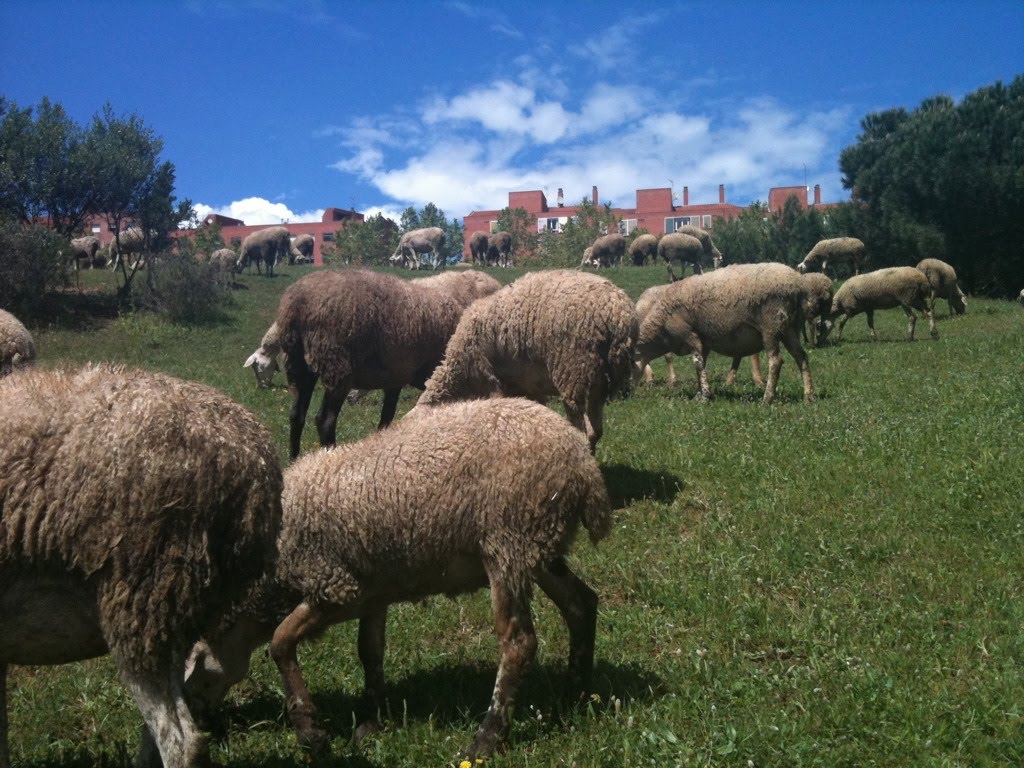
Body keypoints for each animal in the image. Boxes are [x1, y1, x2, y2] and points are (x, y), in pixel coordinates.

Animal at [181, 399, 610, 761]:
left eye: (198, 676)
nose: (206, 728)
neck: (265, 583)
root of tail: (583, 464)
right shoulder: (372, 592)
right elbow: (369, 651)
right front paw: (371, 720)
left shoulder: (333, 587)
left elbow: (280, 642)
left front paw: (311, 732)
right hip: (538, 545)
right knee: (580, 603)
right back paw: (575, 693)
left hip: (509, 542)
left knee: (519, 641)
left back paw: (488, 736)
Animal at [272, 268, 495, 460]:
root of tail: (298, 305)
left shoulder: (395, 378)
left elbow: (386, 419)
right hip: (336, 366)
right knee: (324, 420)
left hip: (298, 366)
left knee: (296, 415)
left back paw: (294, 461)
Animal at [411, 268, 634, 454]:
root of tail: (618, 314)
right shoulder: (528, 386)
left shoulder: (490, 379)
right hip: (599, 380)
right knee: (596, 430)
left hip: (573, 369)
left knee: (583, 430)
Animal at [634, 264, 811, 405]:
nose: (627, 396)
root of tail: (797, 286)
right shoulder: (703, 341)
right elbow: (701, 364)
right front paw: (700, 393)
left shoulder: (689, 335)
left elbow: (697, 363)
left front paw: (706, 395)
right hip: (789, 329)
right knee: (801, 356)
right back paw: (809, 396)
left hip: (771, 327)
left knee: (775, 361)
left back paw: (767, 398)